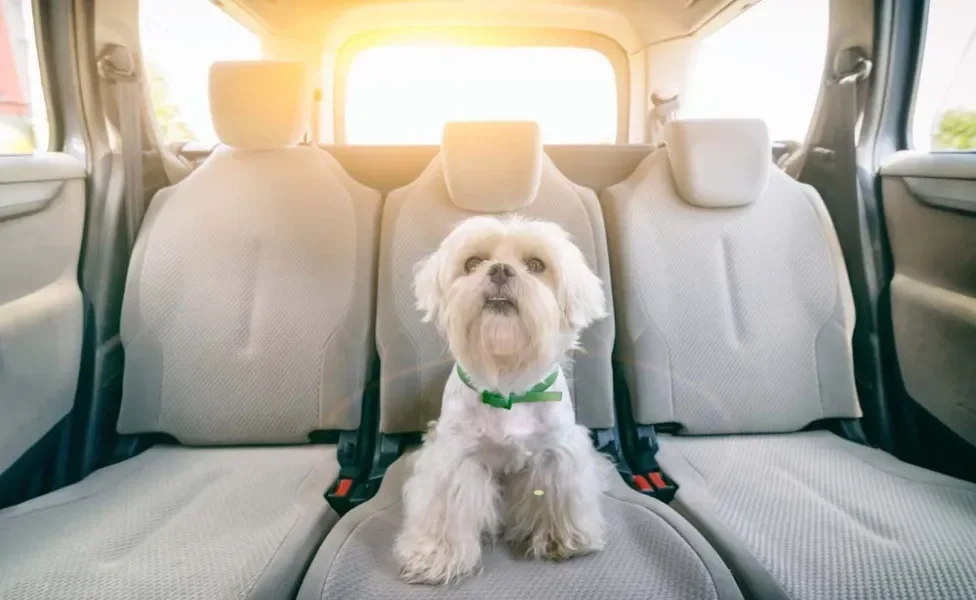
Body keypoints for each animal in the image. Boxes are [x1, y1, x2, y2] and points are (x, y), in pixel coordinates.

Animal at [390, 217, 608, 584]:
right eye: (472, 263)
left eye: (536, 265)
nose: (500, 270)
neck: (507, 384)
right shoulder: (455, 458)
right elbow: (446, 510)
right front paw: (435, 556)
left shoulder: (555, 452)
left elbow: (556, 496)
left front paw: (560, 539)